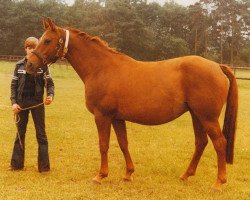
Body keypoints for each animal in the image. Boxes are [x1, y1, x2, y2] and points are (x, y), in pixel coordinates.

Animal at [26, 18, 237, 190]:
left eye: (47, 40)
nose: (29, 64)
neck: (101, 68)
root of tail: (217, 66)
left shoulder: (102, 116)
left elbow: (104, 144)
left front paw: (100, 176)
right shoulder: (117, 118)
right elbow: (123, 143)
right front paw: (128, 174)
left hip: (207, 117)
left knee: (219, 143)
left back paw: (219, 182)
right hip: (196, 115)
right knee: (201, 142)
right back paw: (186, 175)